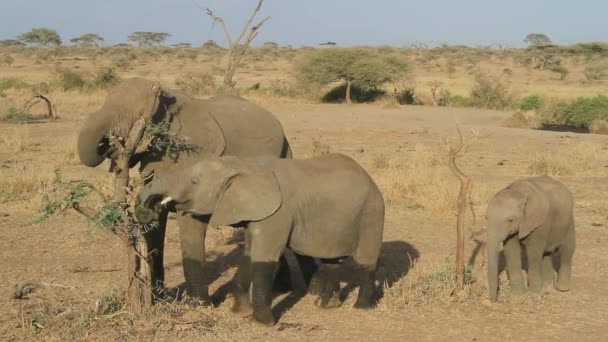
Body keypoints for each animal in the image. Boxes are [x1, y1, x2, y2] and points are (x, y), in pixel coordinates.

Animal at [76, 77, 304, 302]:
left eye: (137, 115)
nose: (110, 144)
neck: (169, 98)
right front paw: (161, 297)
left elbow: (190, 221)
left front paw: (199, 304)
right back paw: (281, 288)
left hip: (284, 154)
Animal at [136, 153, 388, 326]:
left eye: (195, 181)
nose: (147, 210)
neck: (241, 165)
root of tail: (369, 178)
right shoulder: (255, 213)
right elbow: (249, 254)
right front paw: (240, 313)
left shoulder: (277, 214)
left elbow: (264, 259)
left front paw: (264, 323)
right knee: (331, 262)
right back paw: (326, 306)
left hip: (372, 212)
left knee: (366, 260)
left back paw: (362, 307)